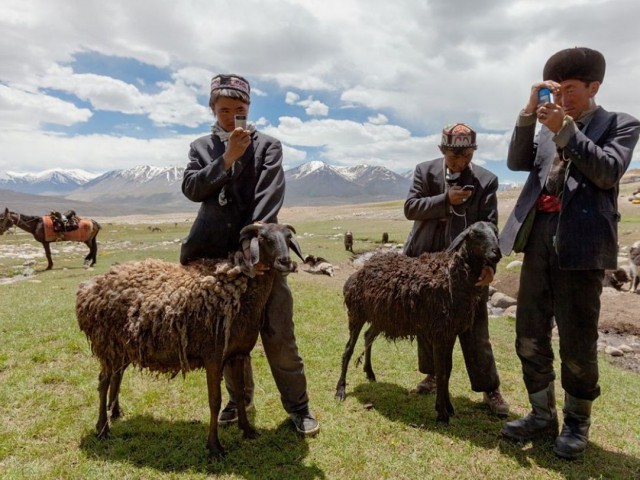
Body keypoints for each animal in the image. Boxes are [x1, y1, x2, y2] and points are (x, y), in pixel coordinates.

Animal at [77, 223, 302, 456]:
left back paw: (115, 412)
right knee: (103, 381)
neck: (240, 291)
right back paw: (102, 429)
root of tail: (88, 288)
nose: (285, 262)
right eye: (264, 238)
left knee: (116, 376)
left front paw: (248, 430)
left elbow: (240, 394)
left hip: (122, 347)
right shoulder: (213, 357)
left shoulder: (238, 354)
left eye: (288, 237)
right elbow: (215, 401)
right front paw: (215, 447)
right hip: (107, 343)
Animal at [336, 221, 500, 424]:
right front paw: (442, 413)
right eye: (475, 234)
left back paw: (370, 373)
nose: (496, 253)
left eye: (496, 232)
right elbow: (441, 371)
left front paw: (448, 406)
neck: (452, 275)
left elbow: (448, 370)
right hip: (356, 314)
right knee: (348, 350)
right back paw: (340, 390)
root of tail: (357, 273)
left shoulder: (450, 332)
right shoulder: (440, 332)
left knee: (368, 337)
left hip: (382, 318)